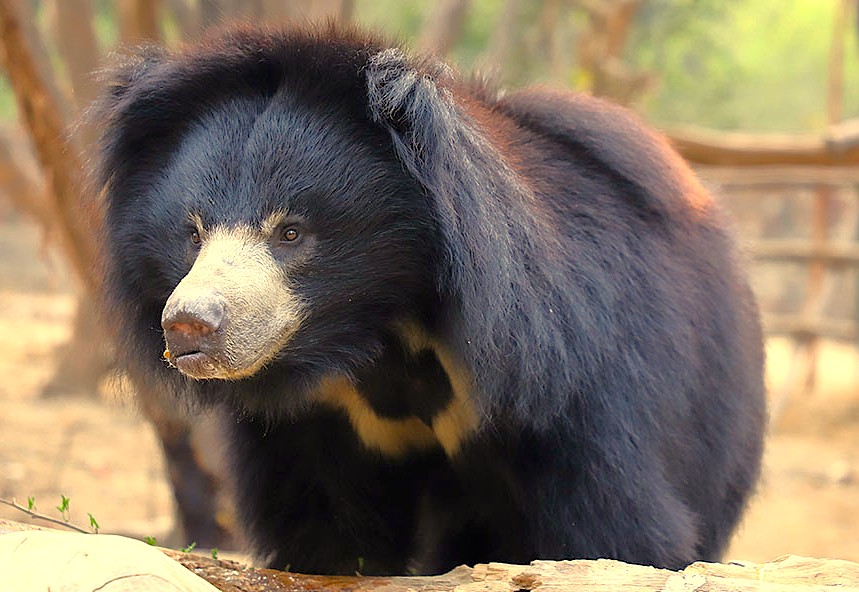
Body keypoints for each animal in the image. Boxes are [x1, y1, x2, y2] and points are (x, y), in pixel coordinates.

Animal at [93, 24, 766, 576]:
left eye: (291, 233)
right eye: (192, 232)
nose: (190, 327)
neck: (384, 332)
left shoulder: (574, 382)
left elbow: (614, 525)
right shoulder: (320, 423)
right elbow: (328, 533)